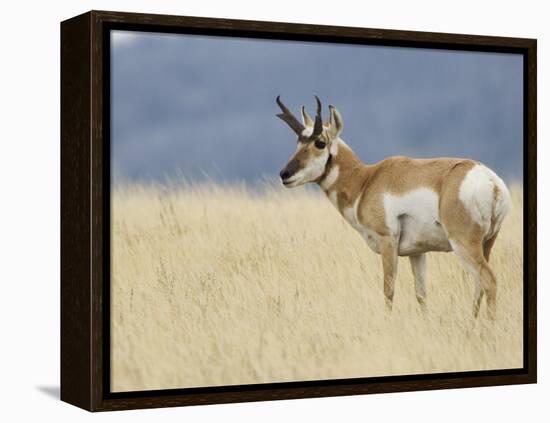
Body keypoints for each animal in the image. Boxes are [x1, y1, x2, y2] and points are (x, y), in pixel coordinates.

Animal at [278, 95, 512, 318]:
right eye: (298, 142)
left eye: (319, 142)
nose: (284, 174)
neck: (365, 181)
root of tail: (491, 181)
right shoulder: (417, 253)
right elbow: (421, 294)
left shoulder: (387, 241)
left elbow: (388, 289)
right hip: (487, 243)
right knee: (479, 285)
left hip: (463, 244)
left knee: (488, 280)